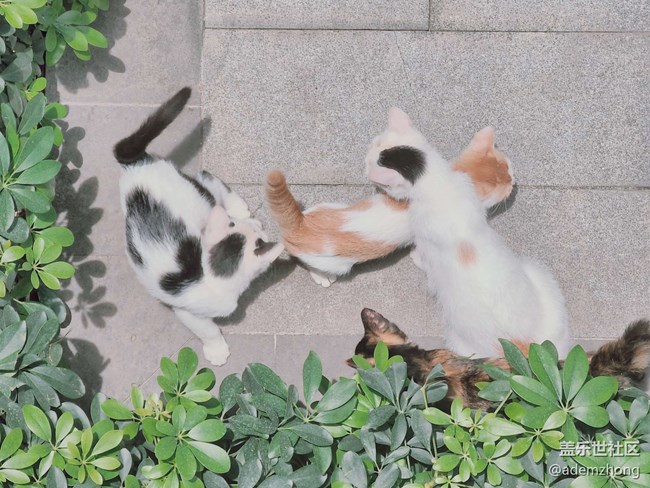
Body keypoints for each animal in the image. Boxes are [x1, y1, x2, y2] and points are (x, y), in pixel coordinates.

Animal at [113, 87, 284, 366]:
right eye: (259, 239)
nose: (260, 230)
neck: (209, 273)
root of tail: (137, 165)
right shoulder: (188, 311)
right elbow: (208, 328)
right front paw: (216, 349)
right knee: (207, 179)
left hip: (197, 197)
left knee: (208, 179)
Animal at [265, 128, 513, 287]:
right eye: (505, 187)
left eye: (509, 168)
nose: (513, 182)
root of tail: (300, 225)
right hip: (336, 264)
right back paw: (321, 277)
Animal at [365, 108, 570, 357]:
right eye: (374, 143)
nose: (364, 163)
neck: (439, 183)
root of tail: (520, 345)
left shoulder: (426, 241)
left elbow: (424, 258)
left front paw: (415, 257)